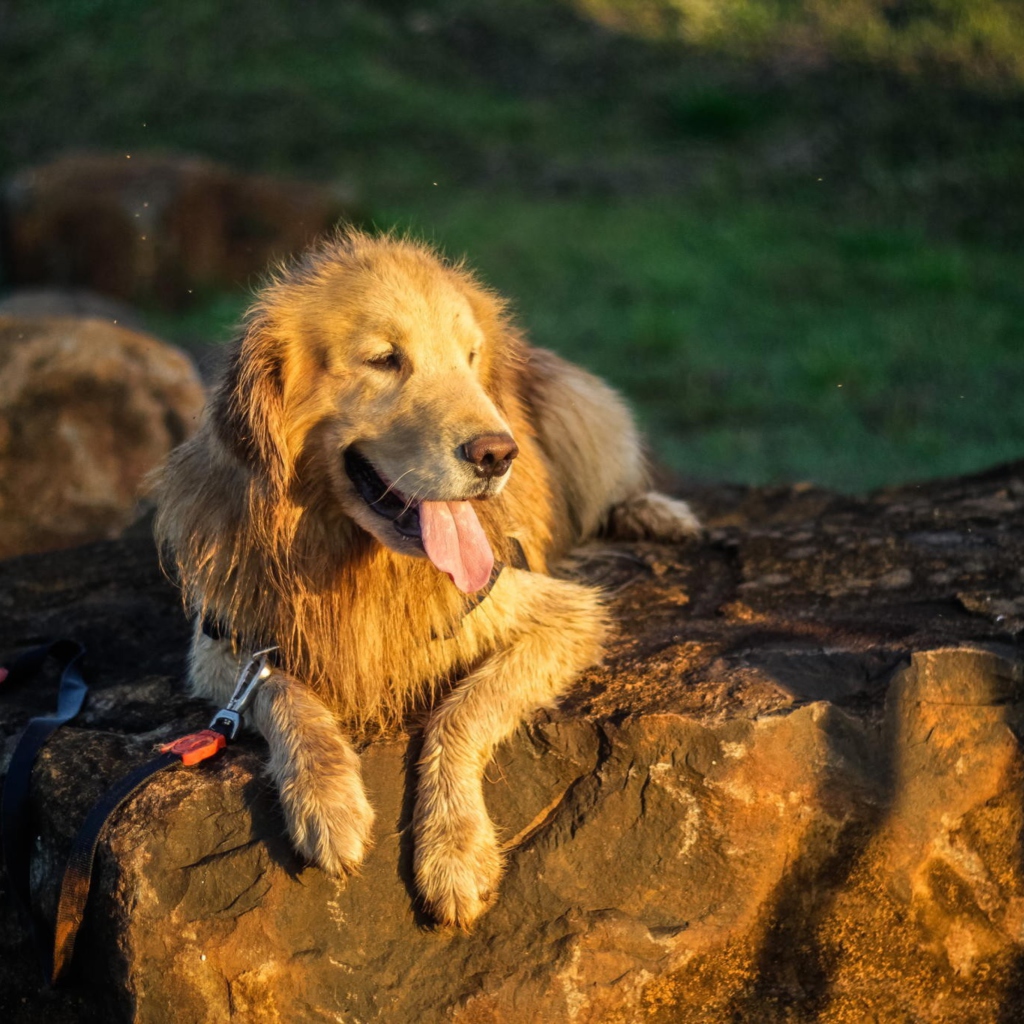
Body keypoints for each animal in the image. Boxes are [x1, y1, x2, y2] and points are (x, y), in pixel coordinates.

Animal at [151, 232, 700, 929]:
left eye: (469, 358)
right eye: (384, 359)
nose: (498, 454)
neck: (356, 558)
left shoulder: (560, 613)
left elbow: (463, 710)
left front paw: (455, 851)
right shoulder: (225, 641)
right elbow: (284, 694)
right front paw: (328, 803)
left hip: (586, 414)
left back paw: (657, 513)